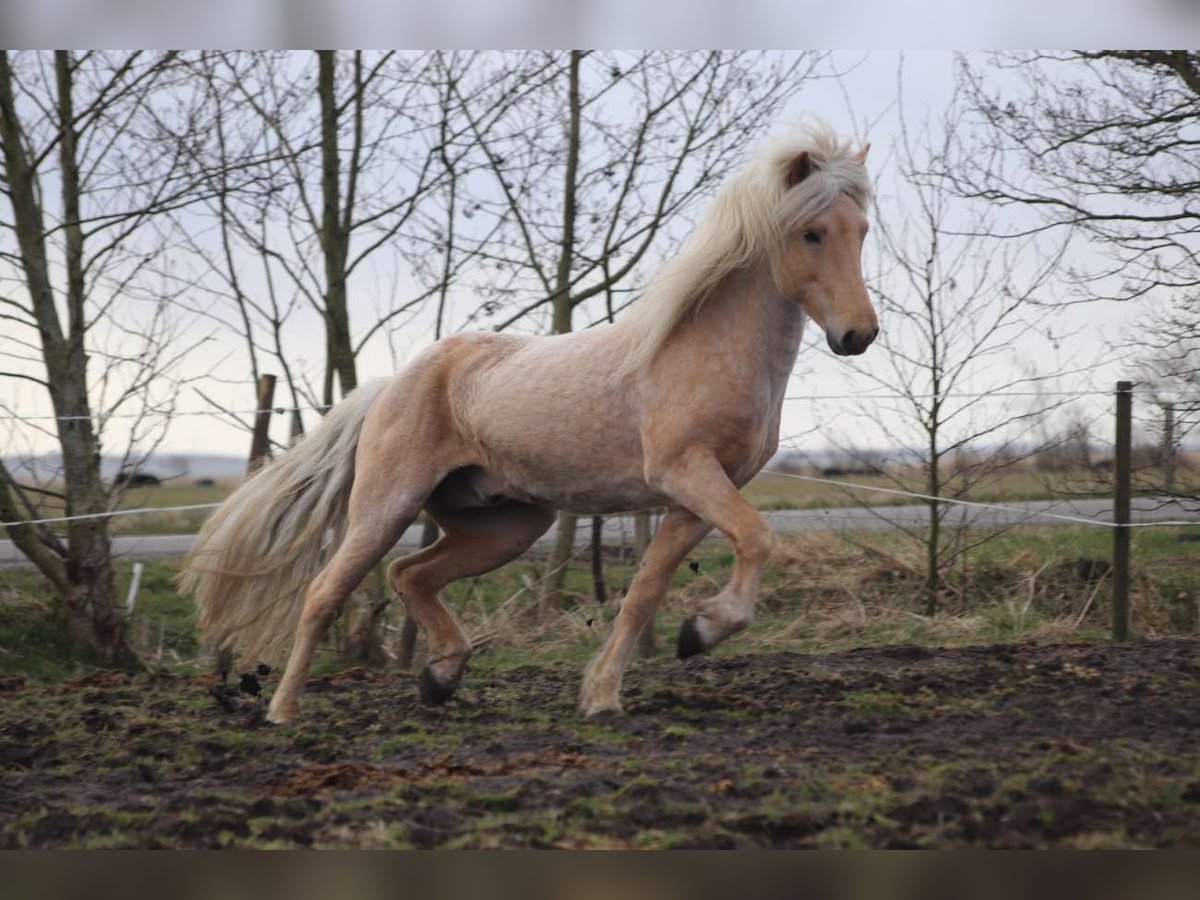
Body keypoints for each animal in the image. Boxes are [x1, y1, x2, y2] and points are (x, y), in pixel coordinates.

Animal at [180, 125, 873, 724]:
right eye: (811, 233)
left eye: (862, 230)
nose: (858, 336)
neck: (700, 350)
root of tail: (387, 387)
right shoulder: (686, 474)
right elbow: (757, 537)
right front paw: (700, 633)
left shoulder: (693, 500)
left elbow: (645, 591)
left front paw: (609, 690)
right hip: (386, 507)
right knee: (327, 591)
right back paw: (283, 711)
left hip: (508, 524)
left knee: (410, 575)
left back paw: (442, 677)